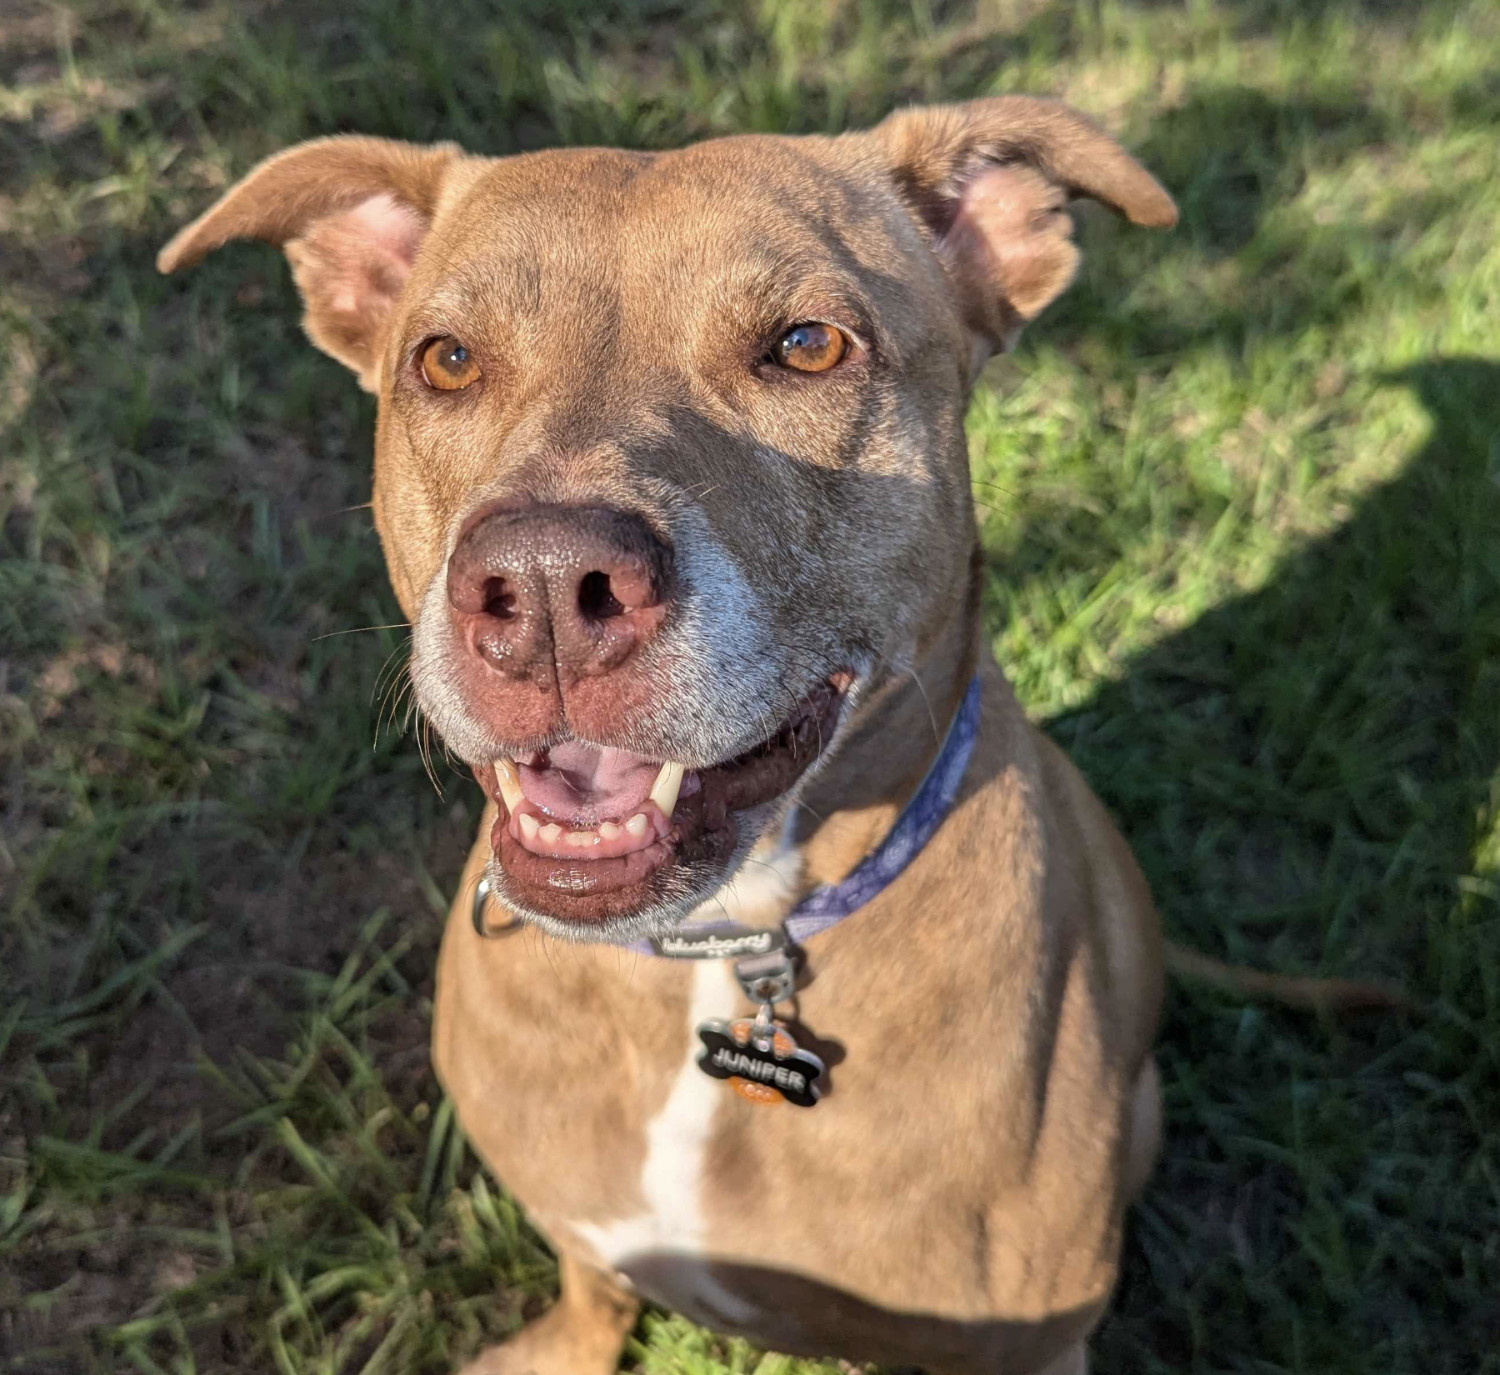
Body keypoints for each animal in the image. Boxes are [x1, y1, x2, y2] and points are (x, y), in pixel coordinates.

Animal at [155, 101, 1182, 1373]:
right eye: (446, 359)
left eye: (808, 345)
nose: (547, 582)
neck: (718, 946)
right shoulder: (580, 1219)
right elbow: (594, 1279)